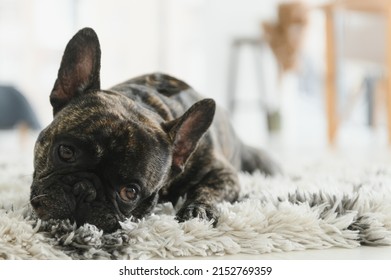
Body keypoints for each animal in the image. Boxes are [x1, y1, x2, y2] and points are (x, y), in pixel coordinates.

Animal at [30, 27, 282, 232]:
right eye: (65, 152)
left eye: (130, 192)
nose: (84, 191)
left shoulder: (224, 174)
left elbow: (209, 190)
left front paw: (198, 209)